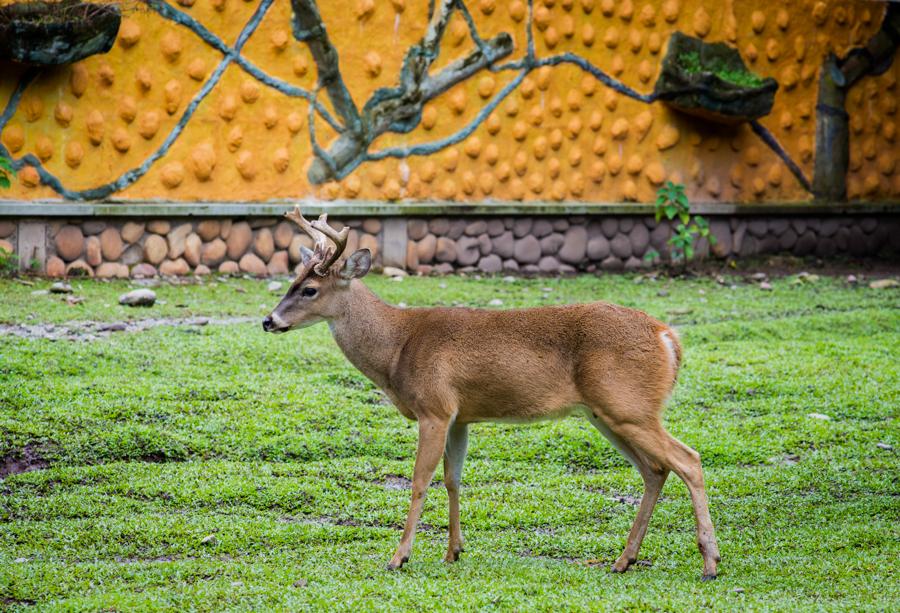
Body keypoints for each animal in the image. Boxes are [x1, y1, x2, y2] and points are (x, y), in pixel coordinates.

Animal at [264, 206, 720, 580]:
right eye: (292, 280)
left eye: (309, 290)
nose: (269, 321)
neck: (398, 347)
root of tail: (668, 337)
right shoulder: (459, 415)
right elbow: (453, 478)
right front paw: (453, 551)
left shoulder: (434, 407)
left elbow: (419, 480)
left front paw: (399, 557)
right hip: (606, 412)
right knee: (655, 469)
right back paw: (624, 559)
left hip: (628, 405)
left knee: (688, 459)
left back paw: (710, 563)